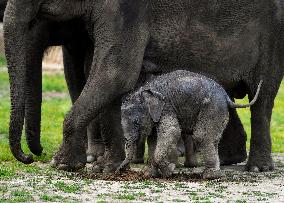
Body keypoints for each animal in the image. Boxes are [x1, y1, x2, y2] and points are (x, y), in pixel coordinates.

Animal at [117, 70, 262, 179]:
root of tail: (227, 98)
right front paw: (150, 175)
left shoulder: (166, 107)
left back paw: (209, 176)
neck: (145, 90)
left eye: (136, 123)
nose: (118, 171)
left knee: (201, 136)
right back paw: (215, 173)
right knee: (212, 139)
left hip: (213, 108)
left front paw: (170, 170)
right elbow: (154, 139)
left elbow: (171, 131)